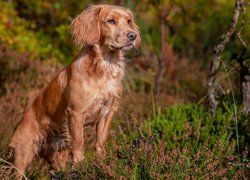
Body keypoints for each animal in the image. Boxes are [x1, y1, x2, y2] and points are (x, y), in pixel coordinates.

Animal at [6, 4, 141, 179]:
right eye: (111, 21)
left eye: (129, 21)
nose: (133, 35)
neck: (104, 67)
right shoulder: (76, 113)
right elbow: (79, 143)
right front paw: (81, 166)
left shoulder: (109, 111)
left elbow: (100, 141)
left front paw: (102, 164)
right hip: (23, 153)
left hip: (57, 157)